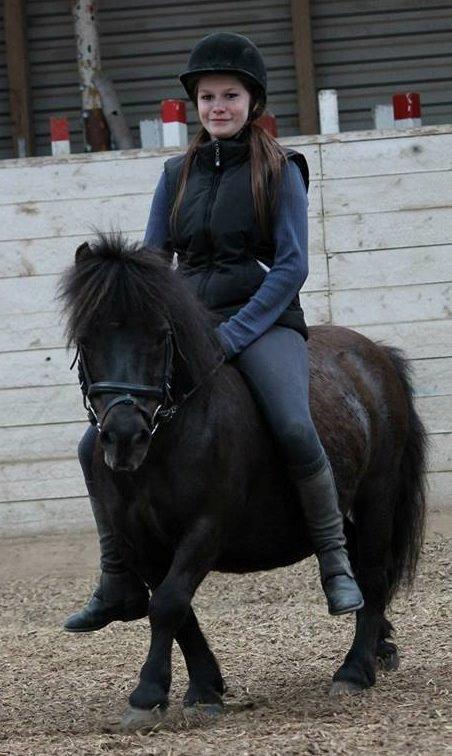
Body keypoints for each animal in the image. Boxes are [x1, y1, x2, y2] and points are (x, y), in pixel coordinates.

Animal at [59, 234, 427, 730]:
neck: (169, 438)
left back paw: (354, 669)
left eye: (160, 336)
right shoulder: (141, 538)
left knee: (371, 572)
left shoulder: (207, 526)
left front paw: (147, 695)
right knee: (355, 558)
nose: (124, 437)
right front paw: (204, 688)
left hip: (377, 495)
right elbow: (179, 612)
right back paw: (379, 644)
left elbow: (169, 603)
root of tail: (376, 354)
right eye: (87, 338)